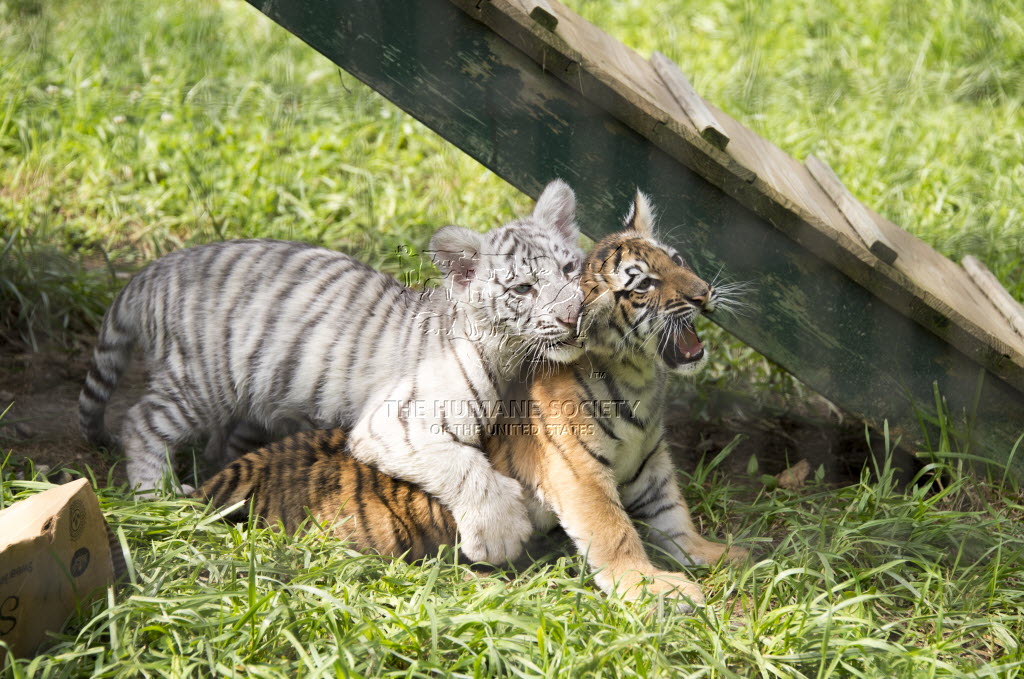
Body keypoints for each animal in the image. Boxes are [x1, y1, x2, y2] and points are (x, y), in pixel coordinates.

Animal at [79, 179, 585, 563]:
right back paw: (154, 494)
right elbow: (464, 467)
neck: (512, 357)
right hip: (200, 382)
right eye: (523, 288)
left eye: (569, 268)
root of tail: (153, 269)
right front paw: (499, 534)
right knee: (140, 422)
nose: (572, 316)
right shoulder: (396, 425)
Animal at [196, 191, 748, 609]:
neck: (639, 379)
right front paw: (650, 588)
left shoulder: (651, 463)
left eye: (677, 261)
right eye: (644, 285)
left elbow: (674, 515)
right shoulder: (578, 473)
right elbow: (614, 530)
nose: (703, 295)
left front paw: (717, 554)